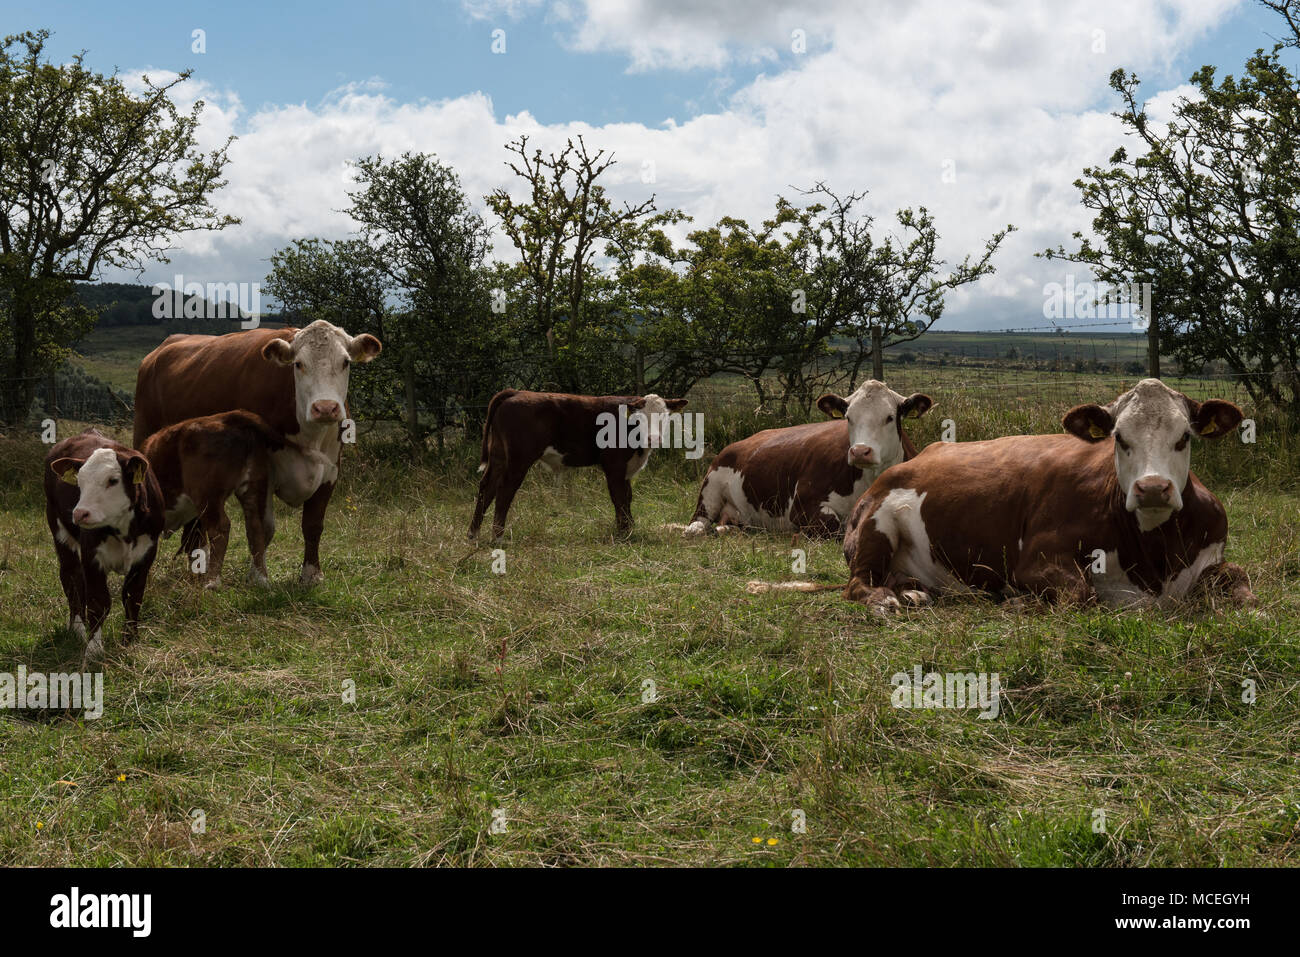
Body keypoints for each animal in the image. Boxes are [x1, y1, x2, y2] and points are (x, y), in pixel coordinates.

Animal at [44, 429, 167, 660]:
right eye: (79, 482)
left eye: (113, 480)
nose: (80, 513)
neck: (124, 529)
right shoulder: (92, 556)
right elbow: (98, 602)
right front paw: (93, 649)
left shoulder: (146, 555)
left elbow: (133, 596)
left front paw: (130, 640)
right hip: (60, 532)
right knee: (72, 578)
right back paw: (78, 628)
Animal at [135, 319, 382, 582]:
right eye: (298, 364)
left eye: (345, 362)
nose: (325, 408)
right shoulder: (263, 471)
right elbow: (262, 527)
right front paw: (257, 575)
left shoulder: (331, 468)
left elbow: (313, 524)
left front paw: (311, 574)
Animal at [470, 387, 691, 538]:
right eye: (640, 419)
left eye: (665, 417)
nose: (654, 439)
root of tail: (516, 392)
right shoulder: (614, 465)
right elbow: (619, 498)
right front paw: (623, 533)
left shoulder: (626, 470)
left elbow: (628, 498)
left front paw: (629, 528)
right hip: (519, 459)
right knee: (504, 490)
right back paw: (497, 536)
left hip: (499, 457)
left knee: (487, 488)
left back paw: (474, 534)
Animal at [681, 377, 935, 535]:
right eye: (848, 417)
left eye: (890, 417)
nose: (860, 451)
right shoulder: (802, 505)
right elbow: (833, 525)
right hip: (711, 487)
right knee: (699, 521)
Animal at [759, 377, 1253, 608]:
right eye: (1119, 437)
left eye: (1184, 437)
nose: (1152, 488)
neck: (1153, 554)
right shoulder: (1035, 558)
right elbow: (1080, 594)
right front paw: (1018, 604)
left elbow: (1242, 581)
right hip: (875, 529)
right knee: (859, 585)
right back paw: (888, 600)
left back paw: (914, 592)